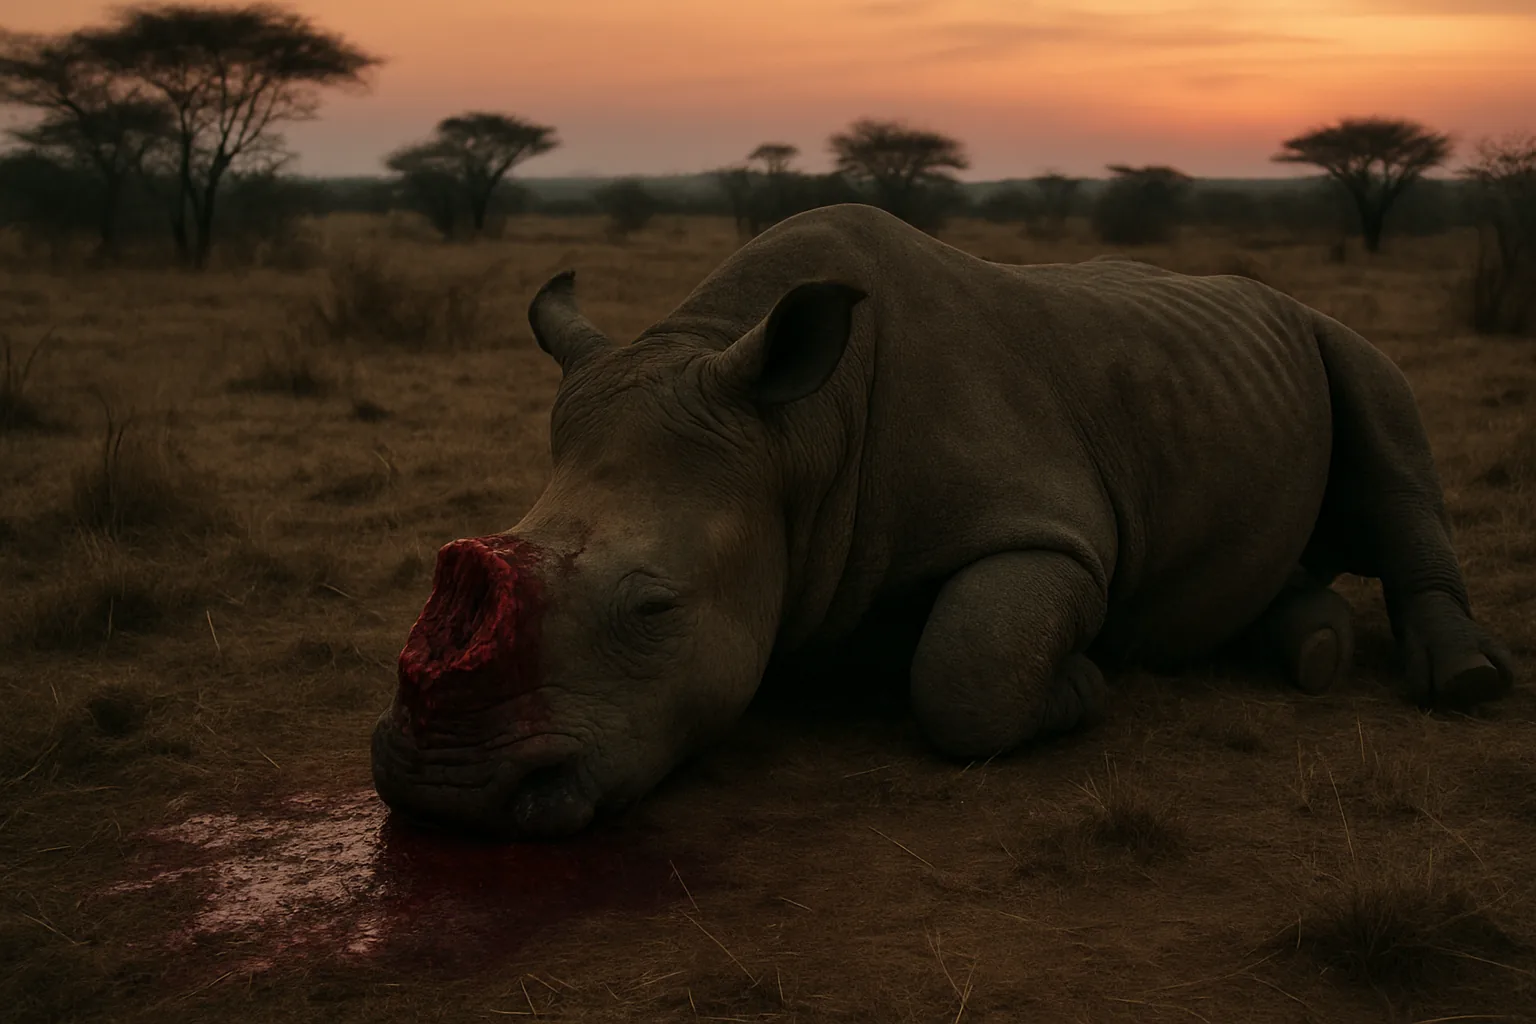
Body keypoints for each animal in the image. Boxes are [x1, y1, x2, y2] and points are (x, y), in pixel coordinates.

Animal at [370, 203, 1515, 840]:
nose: (447, 791)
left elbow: (964, 671)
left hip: (1327, 331)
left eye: (654, 609)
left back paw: (1460, 683)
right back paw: (1311, 648)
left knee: (1385, 414)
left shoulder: (1052, 532)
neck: (794, 436)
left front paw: (1084, 683)